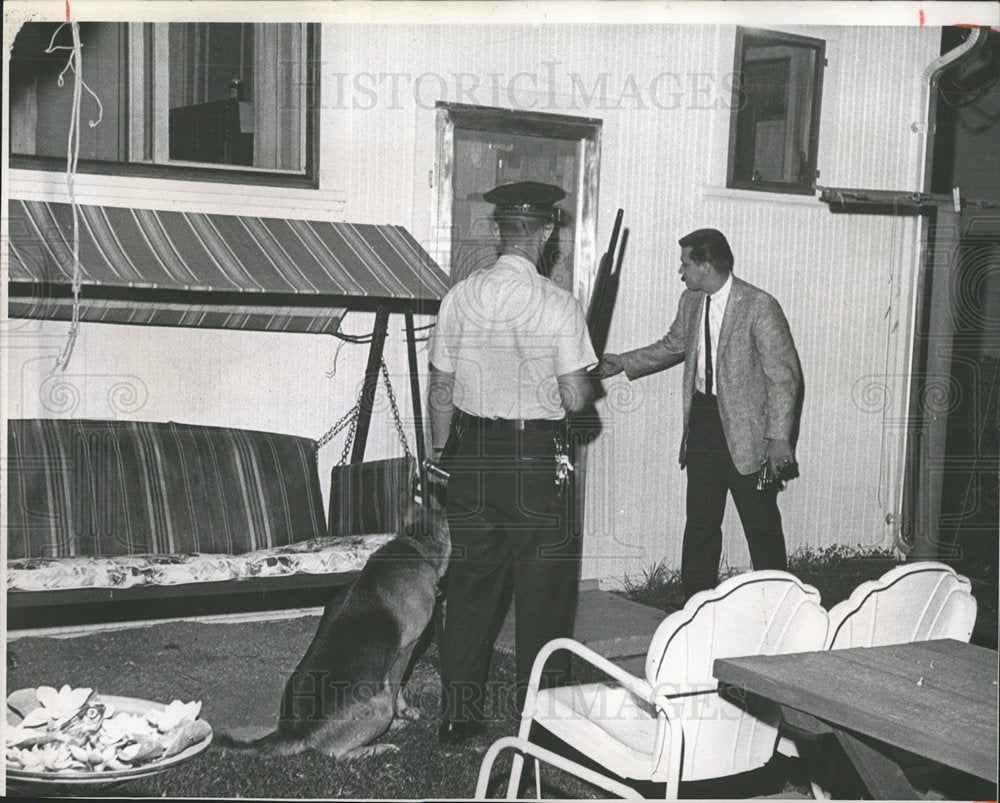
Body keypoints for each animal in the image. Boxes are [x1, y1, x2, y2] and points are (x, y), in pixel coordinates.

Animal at [219, 496, 454, 760]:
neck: (415, 546)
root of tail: (297, 732)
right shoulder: (404, 652)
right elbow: (398, 688)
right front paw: (401, 716)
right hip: (379, 703)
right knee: (339, 754)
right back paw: (377, 747)